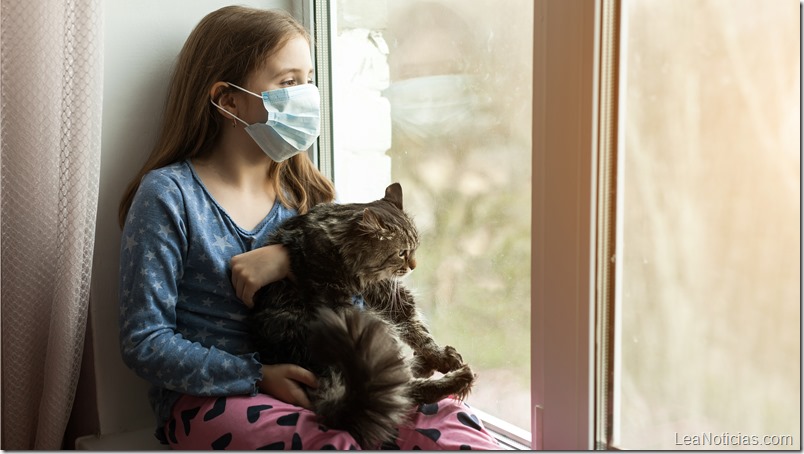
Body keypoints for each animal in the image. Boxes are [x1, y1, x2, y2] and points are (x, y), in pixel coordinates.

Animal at [251, 183, 474, 446]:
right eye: (401, 253)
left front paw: (440, 356)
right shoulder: (353, 298)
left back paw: (425, 364)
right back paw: (457, 379)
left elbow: (420, 332)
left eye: (415, 247)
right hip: (367, 330)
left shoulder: (389, 295)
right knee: (402, 391)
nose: (414, 265)